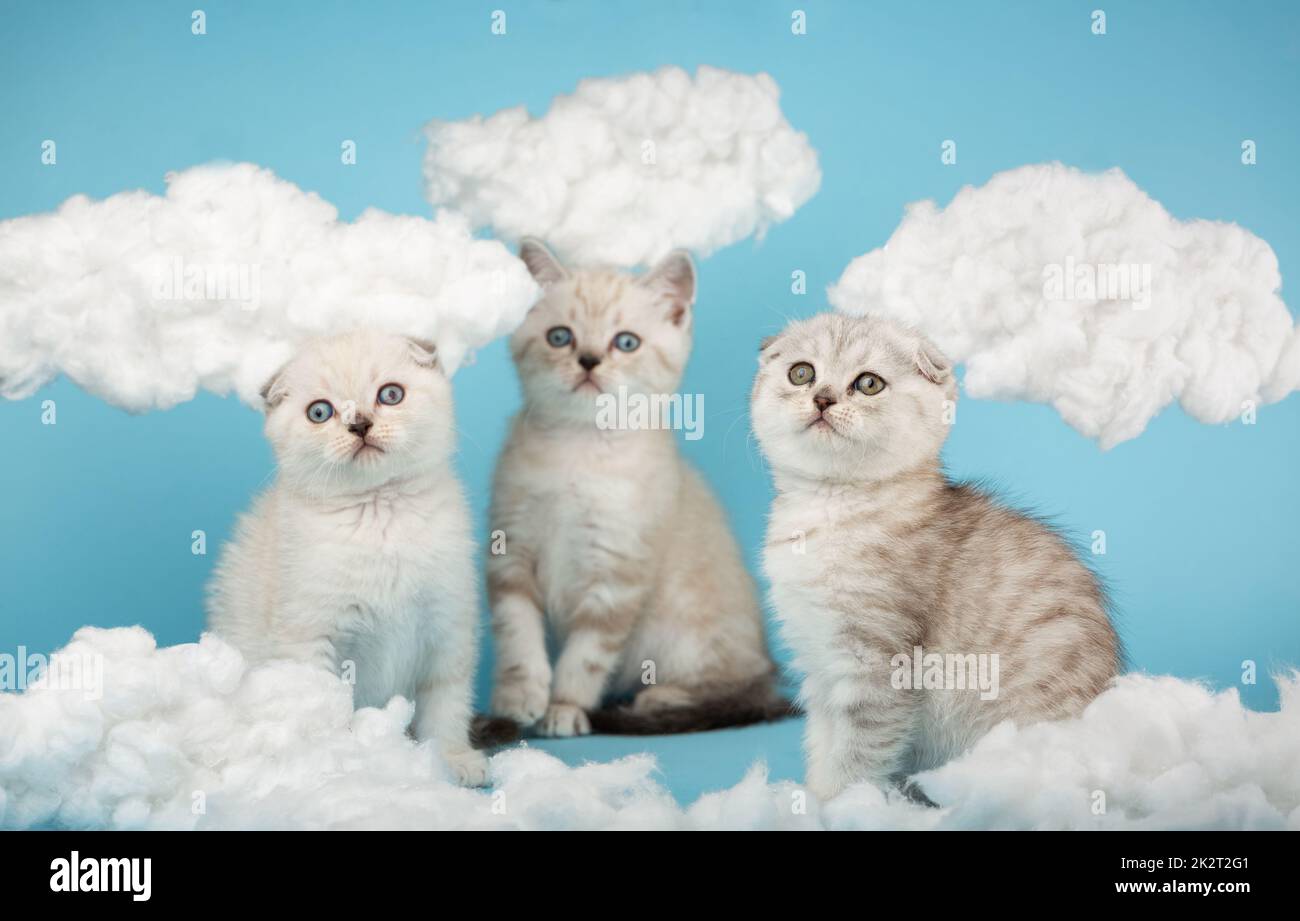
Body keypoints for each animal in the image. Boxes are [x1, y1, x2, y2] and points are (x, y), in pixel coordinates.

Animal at [202, 329, 488, 785]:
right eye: (320, 412)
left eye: (390, 394)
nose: (360, 424)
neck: (379, 515)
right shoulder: (311, 638)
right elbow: (327, 708)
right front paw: (345, 765)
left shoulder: (447, 627)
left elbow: (445, 704)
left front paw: (451, 759)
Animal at [486, 240, 780, 738]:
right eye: (560, 337)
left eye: (626, 343)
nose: (588, 361)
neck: (579, 449)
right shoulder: (512, 551)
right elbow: (517, 632)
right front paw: (519, 697)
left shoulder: (617, 573)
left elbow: (585, 658)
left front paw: (564, 708)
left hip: (684, 632)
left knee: (739, 687)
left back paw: (658, 699)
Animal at [754, 310, 1118, 796]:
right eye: (801, 373)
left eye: (868, 384)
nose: (823, 399)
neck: (830, 509)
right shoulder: (818, 663)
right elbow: (822, 743)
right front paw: (811, 795)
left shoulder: (878, 663)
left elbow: (855, 754)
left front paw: (841, 803)